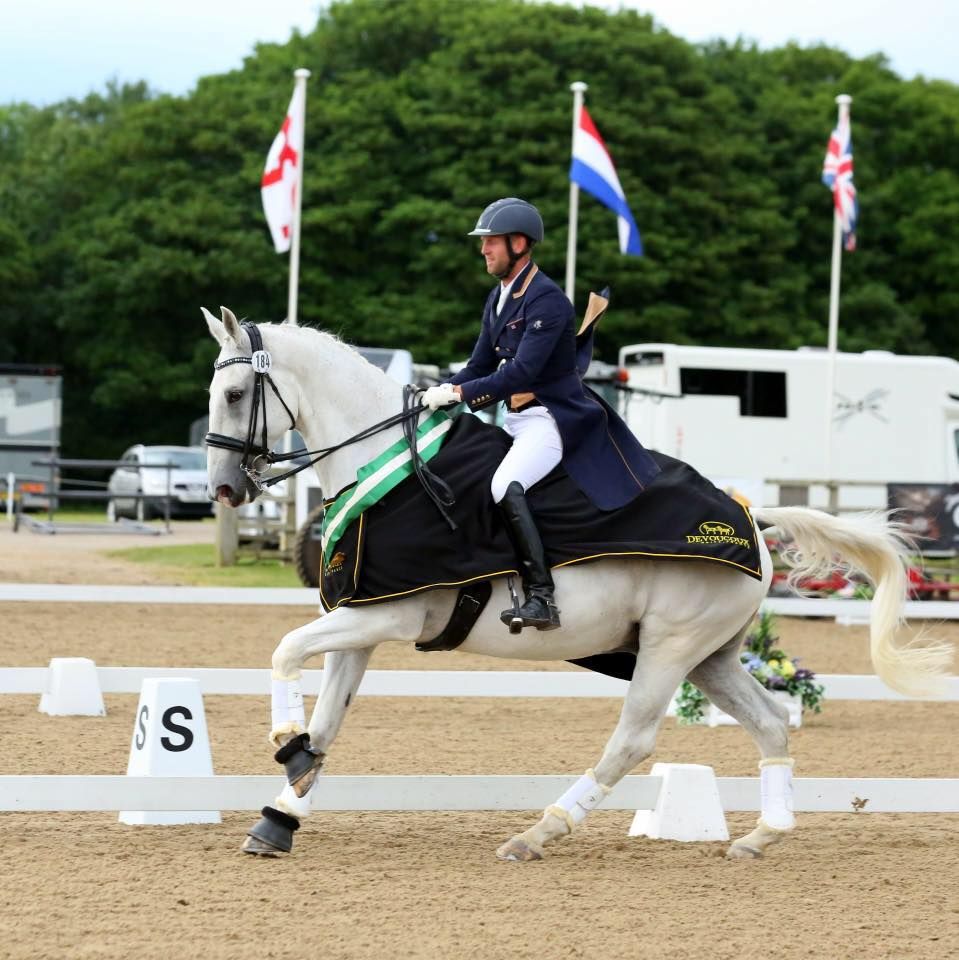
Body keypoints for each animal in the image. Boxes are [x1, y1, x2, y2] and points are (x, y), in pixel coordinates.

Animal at [202, 310, 952, 864]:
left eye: (236, 395)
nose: (224, 490)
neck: (386, 470)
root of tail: (746, 515)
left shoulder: (389, 617)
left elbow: (284, 651)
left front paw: (287, 746)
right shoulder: (361, 620)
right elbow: (329, 711)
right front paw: (284, 807)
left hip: (669, 650)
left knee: (632, 740)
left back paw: (539, 831)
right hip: (708, 656)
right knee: (769, 721)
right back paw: (759, 837)